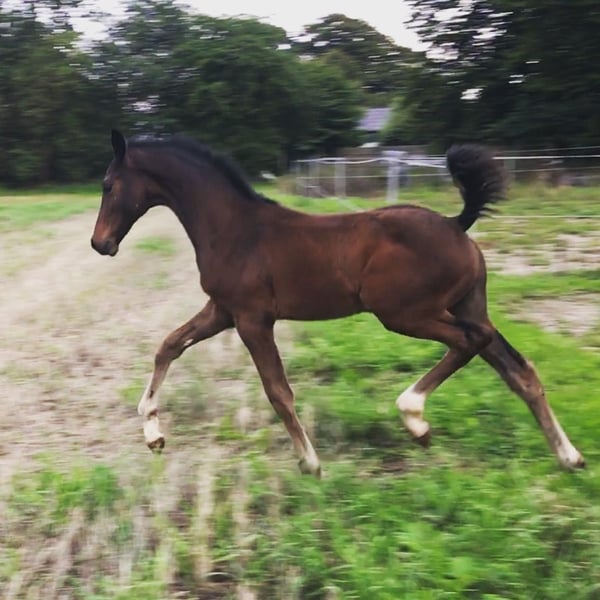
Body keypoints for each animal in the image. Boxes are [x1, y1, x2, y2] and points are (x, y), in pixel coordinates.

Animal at [91, 130, 584, 476]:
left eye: (109, 184)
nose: (100, 244)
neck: (234, 229)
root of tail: (455, 223)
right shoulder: (223, 311)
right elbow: (168, 346)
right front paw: (152, 433)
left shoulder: (253, 319)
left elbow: (277, 390)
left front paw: (310, 462)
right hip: (465, 305)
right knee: (516, 367)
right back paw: (569, 456)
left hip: (405, 313)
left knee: (470, 342)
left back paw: (415, 416)